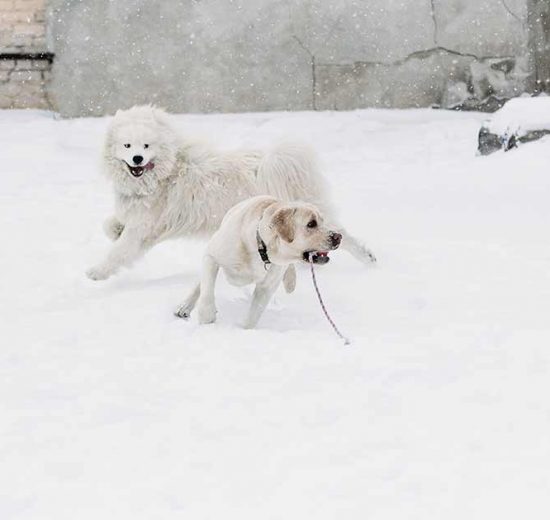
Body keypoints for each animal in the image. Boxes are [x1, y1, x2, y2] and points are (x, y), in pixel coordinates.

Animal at [88, 104, 378, 280]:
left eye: (146, 145)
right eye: (127, 145)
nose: (137, 159)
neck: (166, 172)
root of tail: (274, 162)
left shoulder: (143, 228)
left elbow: (119, 251)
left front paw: (96, 272)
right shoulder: (140, 219)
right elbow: (108, 225)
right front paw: (114, 230)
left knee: (341, 235)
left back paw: (369, 259)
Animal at [176, 196, 340, 330]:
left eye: (323, 221)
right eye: (311, 224)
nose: (338, 236)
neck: (261, 248)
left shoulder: (266, 287)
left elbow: (252, 316)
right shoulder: (211, 256)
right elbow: (207, 291)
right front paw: (207, 318)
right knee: (201, 283)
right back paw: (184, 306)